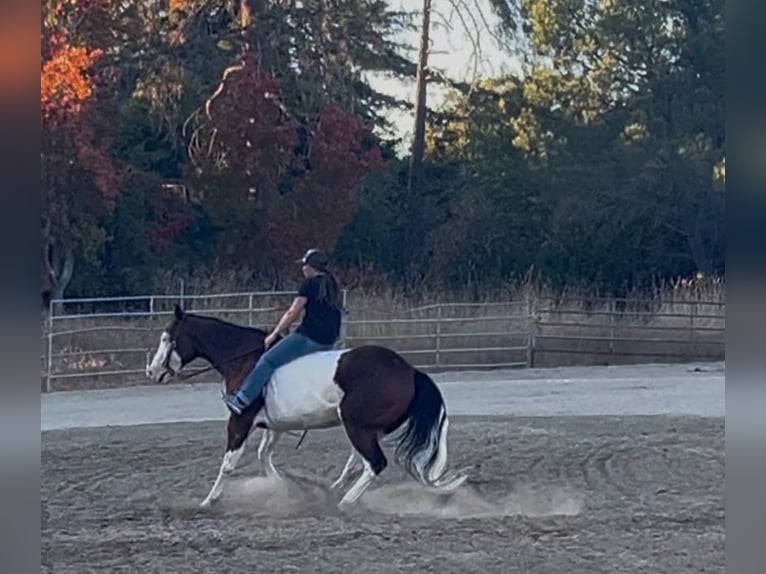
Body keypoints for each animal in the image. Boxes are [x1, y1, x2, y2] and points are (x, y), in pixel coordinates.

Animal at [145, 304, 468, 508]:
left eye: (167, 338)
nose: (152, 371)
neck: (243, 358)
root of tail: (410, 371)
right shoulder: (274, 425)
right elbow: (264, 456)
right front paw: (288, 490)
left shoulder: (240, 420)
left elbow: (229, 463)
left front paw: (208, 501)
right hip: (368, 428)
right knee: (358, 462)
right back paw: (333, 491)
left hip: (357, 426)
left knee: (374, 463)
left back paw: (344, 502)